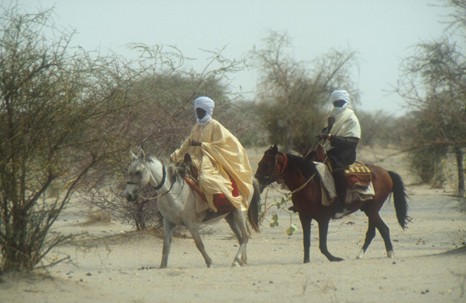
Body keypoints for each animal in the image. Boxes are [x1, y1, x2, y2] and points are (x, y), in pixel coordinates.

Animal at [125, 150, 260, 268]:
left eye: (138, 171)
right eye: (128, 171)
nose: (128, 195)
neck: (173, 191)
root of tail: (248, 180)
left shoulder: (190, 223)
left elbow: (199, 244)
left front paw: (210, 263)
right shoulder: (168, 222)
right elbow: (166, 246)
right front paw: (163, 266)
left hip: (239, 212)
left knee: (245, 236)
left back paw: (236, 261)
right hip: (230, 216)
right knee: (241, 237)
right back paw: (242, 261)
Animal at [253, 145, 410, 264]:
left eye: (267, 164)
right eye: (259, 163)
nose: (256, 182)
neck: (310, 184)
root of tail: (386, 172)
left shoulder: (323, 219)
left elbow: (322, 244)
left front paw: (334, 258)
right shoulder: (305, 217)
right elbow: (306, 242)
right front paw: (306, 261)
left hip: (372, 209)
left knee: (383, 229)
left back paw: (390, 254)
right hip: (369, 210)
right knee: (374, 231)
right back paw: (362, 255)